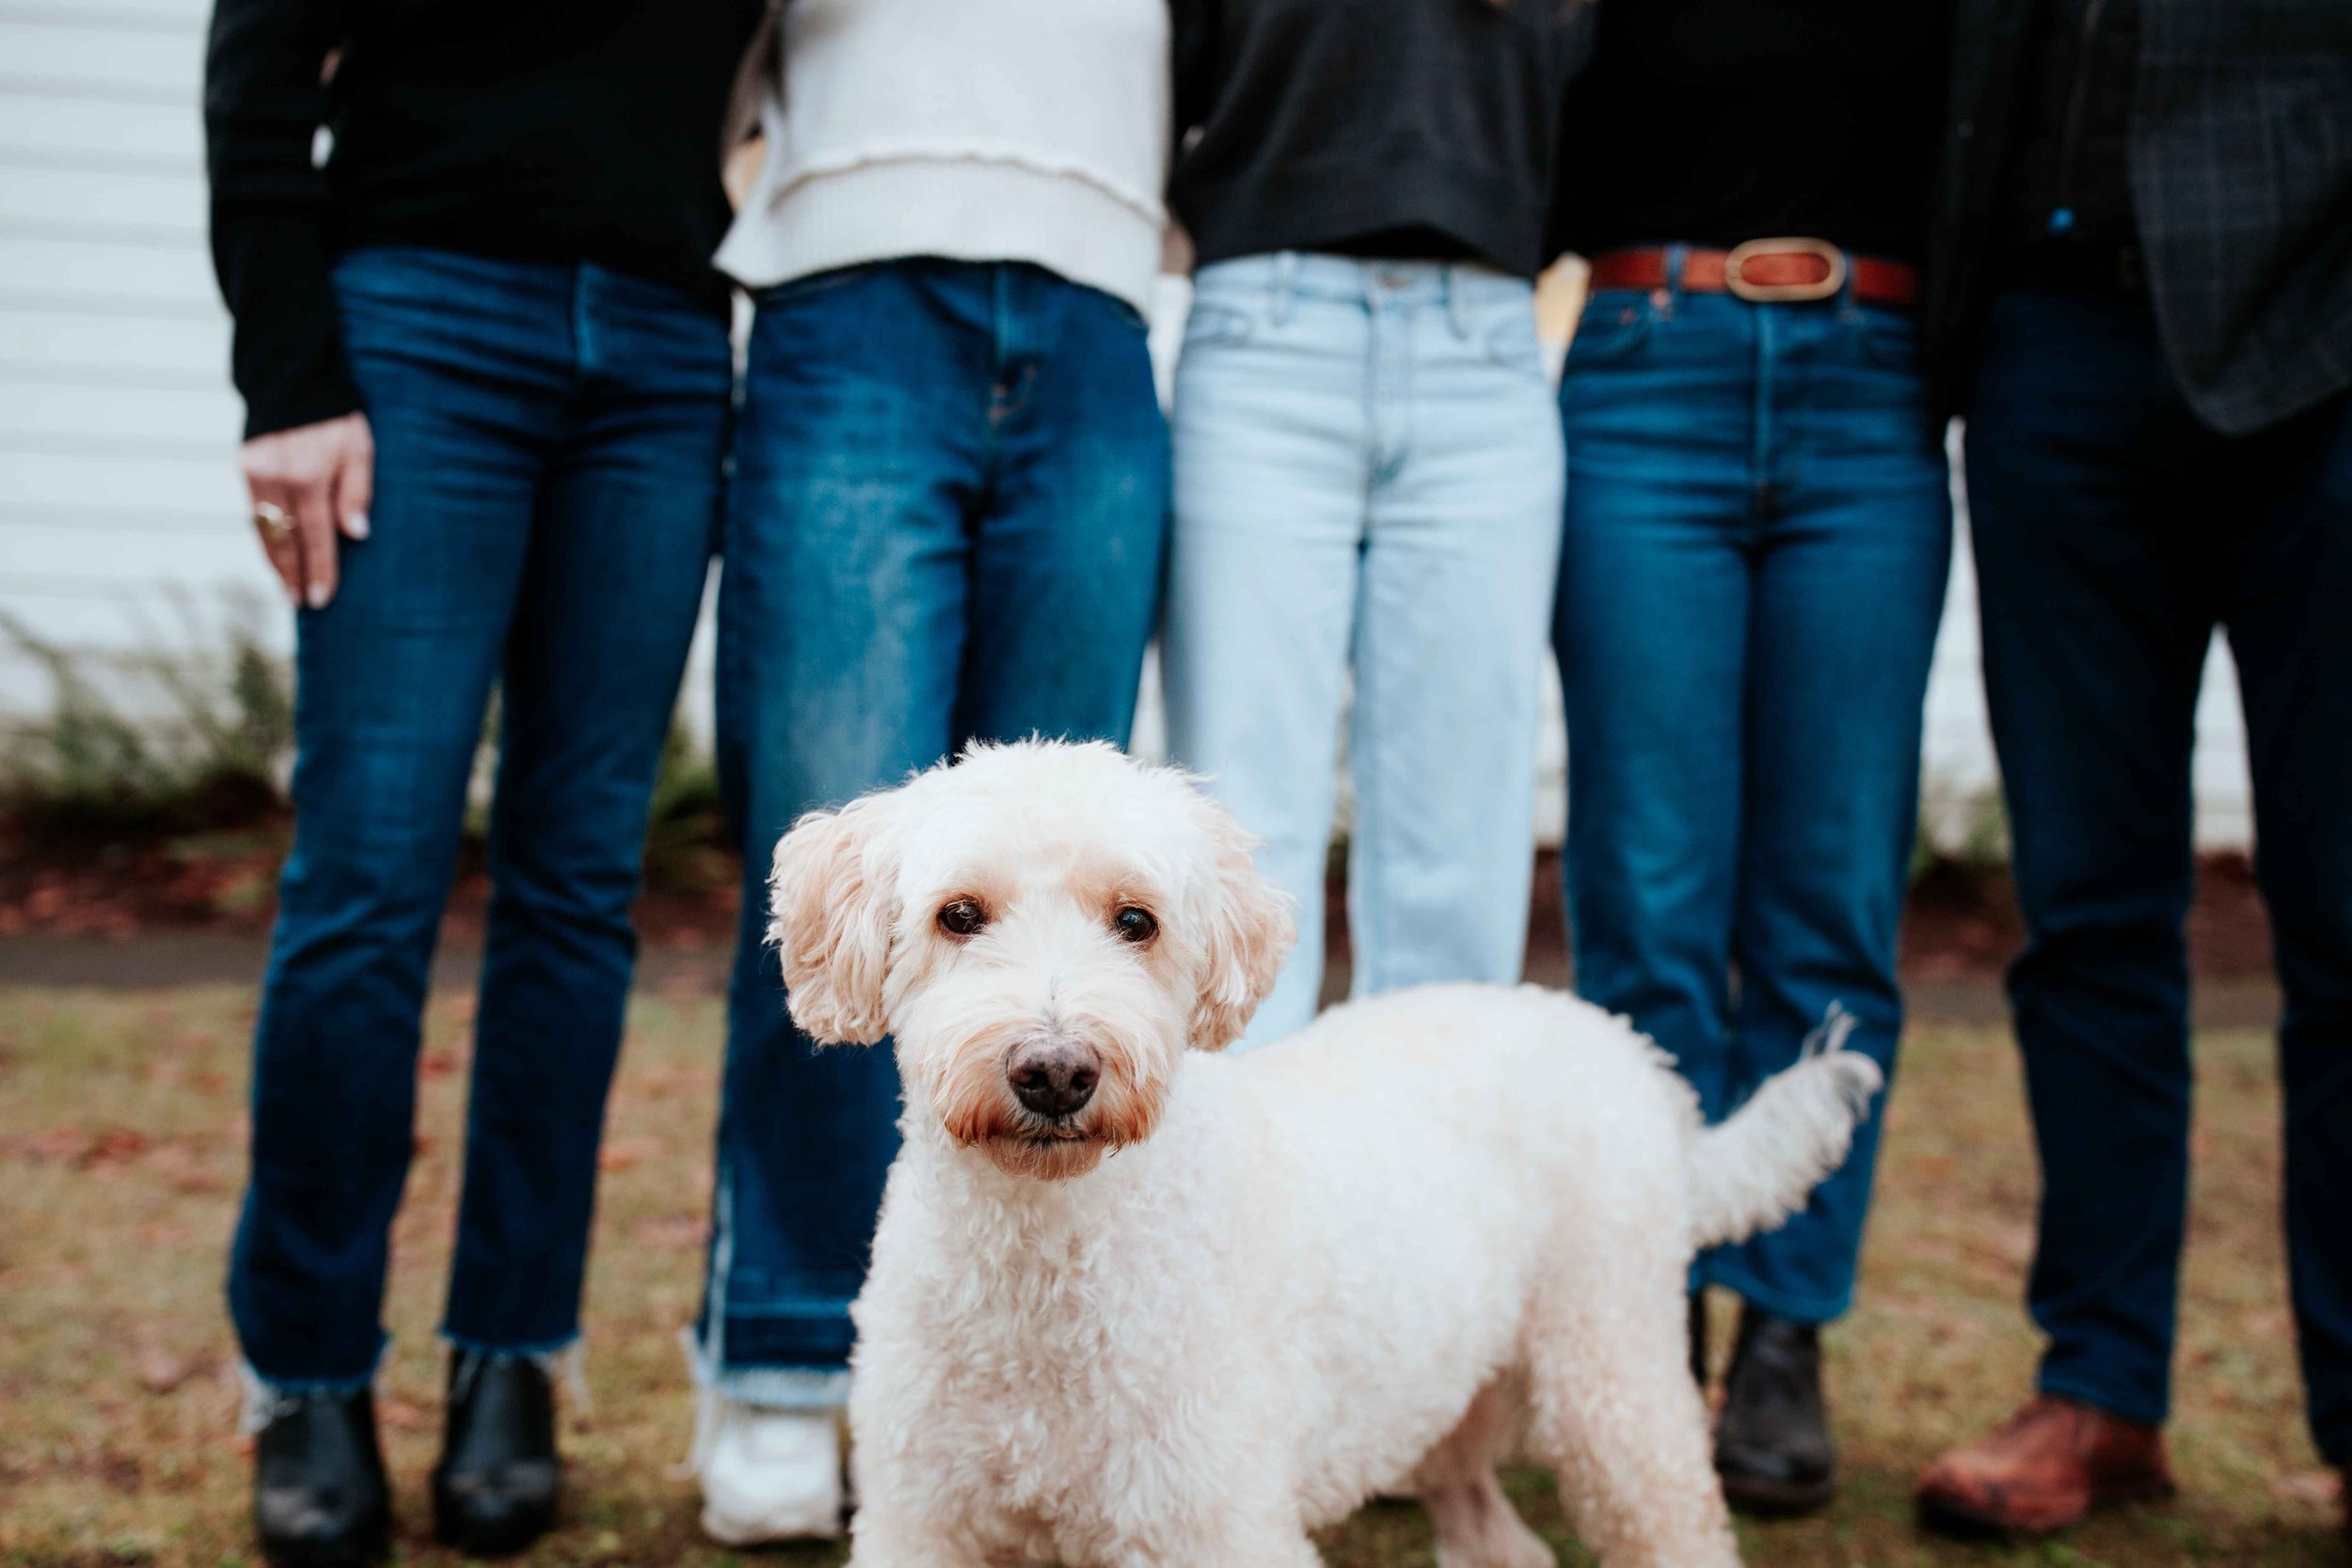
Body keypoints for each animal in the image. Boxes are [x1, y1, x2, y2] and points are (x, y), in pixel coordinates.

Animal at [762, 737, 1882, 1568]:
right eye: (957, 914)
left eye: (1136, 920)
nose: (1055, 1071)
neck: (1046, 1260)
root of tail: (1629, 1050)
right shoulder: (924, 1519)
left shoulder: (1211, 1525)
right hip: (1450, 1373)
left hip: (1614, 1371)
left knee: (1667, 1515)